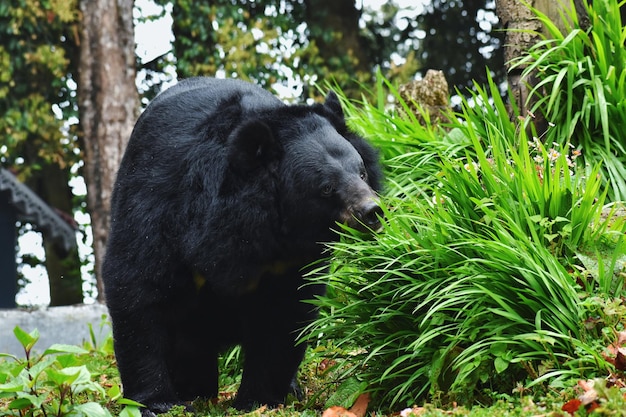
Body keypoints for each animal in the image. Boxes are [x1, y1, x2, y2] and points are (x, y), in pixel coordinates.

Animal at [102, 76, 380, 414]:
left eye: (362, 172)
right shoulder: (158, 200)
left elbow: (282, 314)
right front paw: (159, 403)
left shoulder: (290, 261)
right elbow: (139, 287)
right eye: (326, 188)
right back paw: (194, 390)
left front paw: (257, 400)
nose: (372, 211)